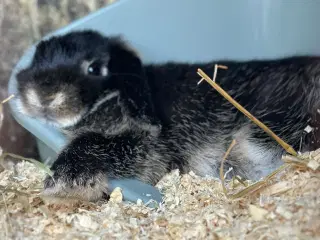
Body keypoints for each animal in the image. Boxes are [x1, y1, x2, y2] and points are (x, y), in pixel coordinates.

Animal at [15, 30, 320, 202]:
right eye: (37, 58)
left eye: (94, 69)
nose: (43, 95)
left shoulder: (145, 146)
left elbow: (93, 143)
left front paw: (61, 187)